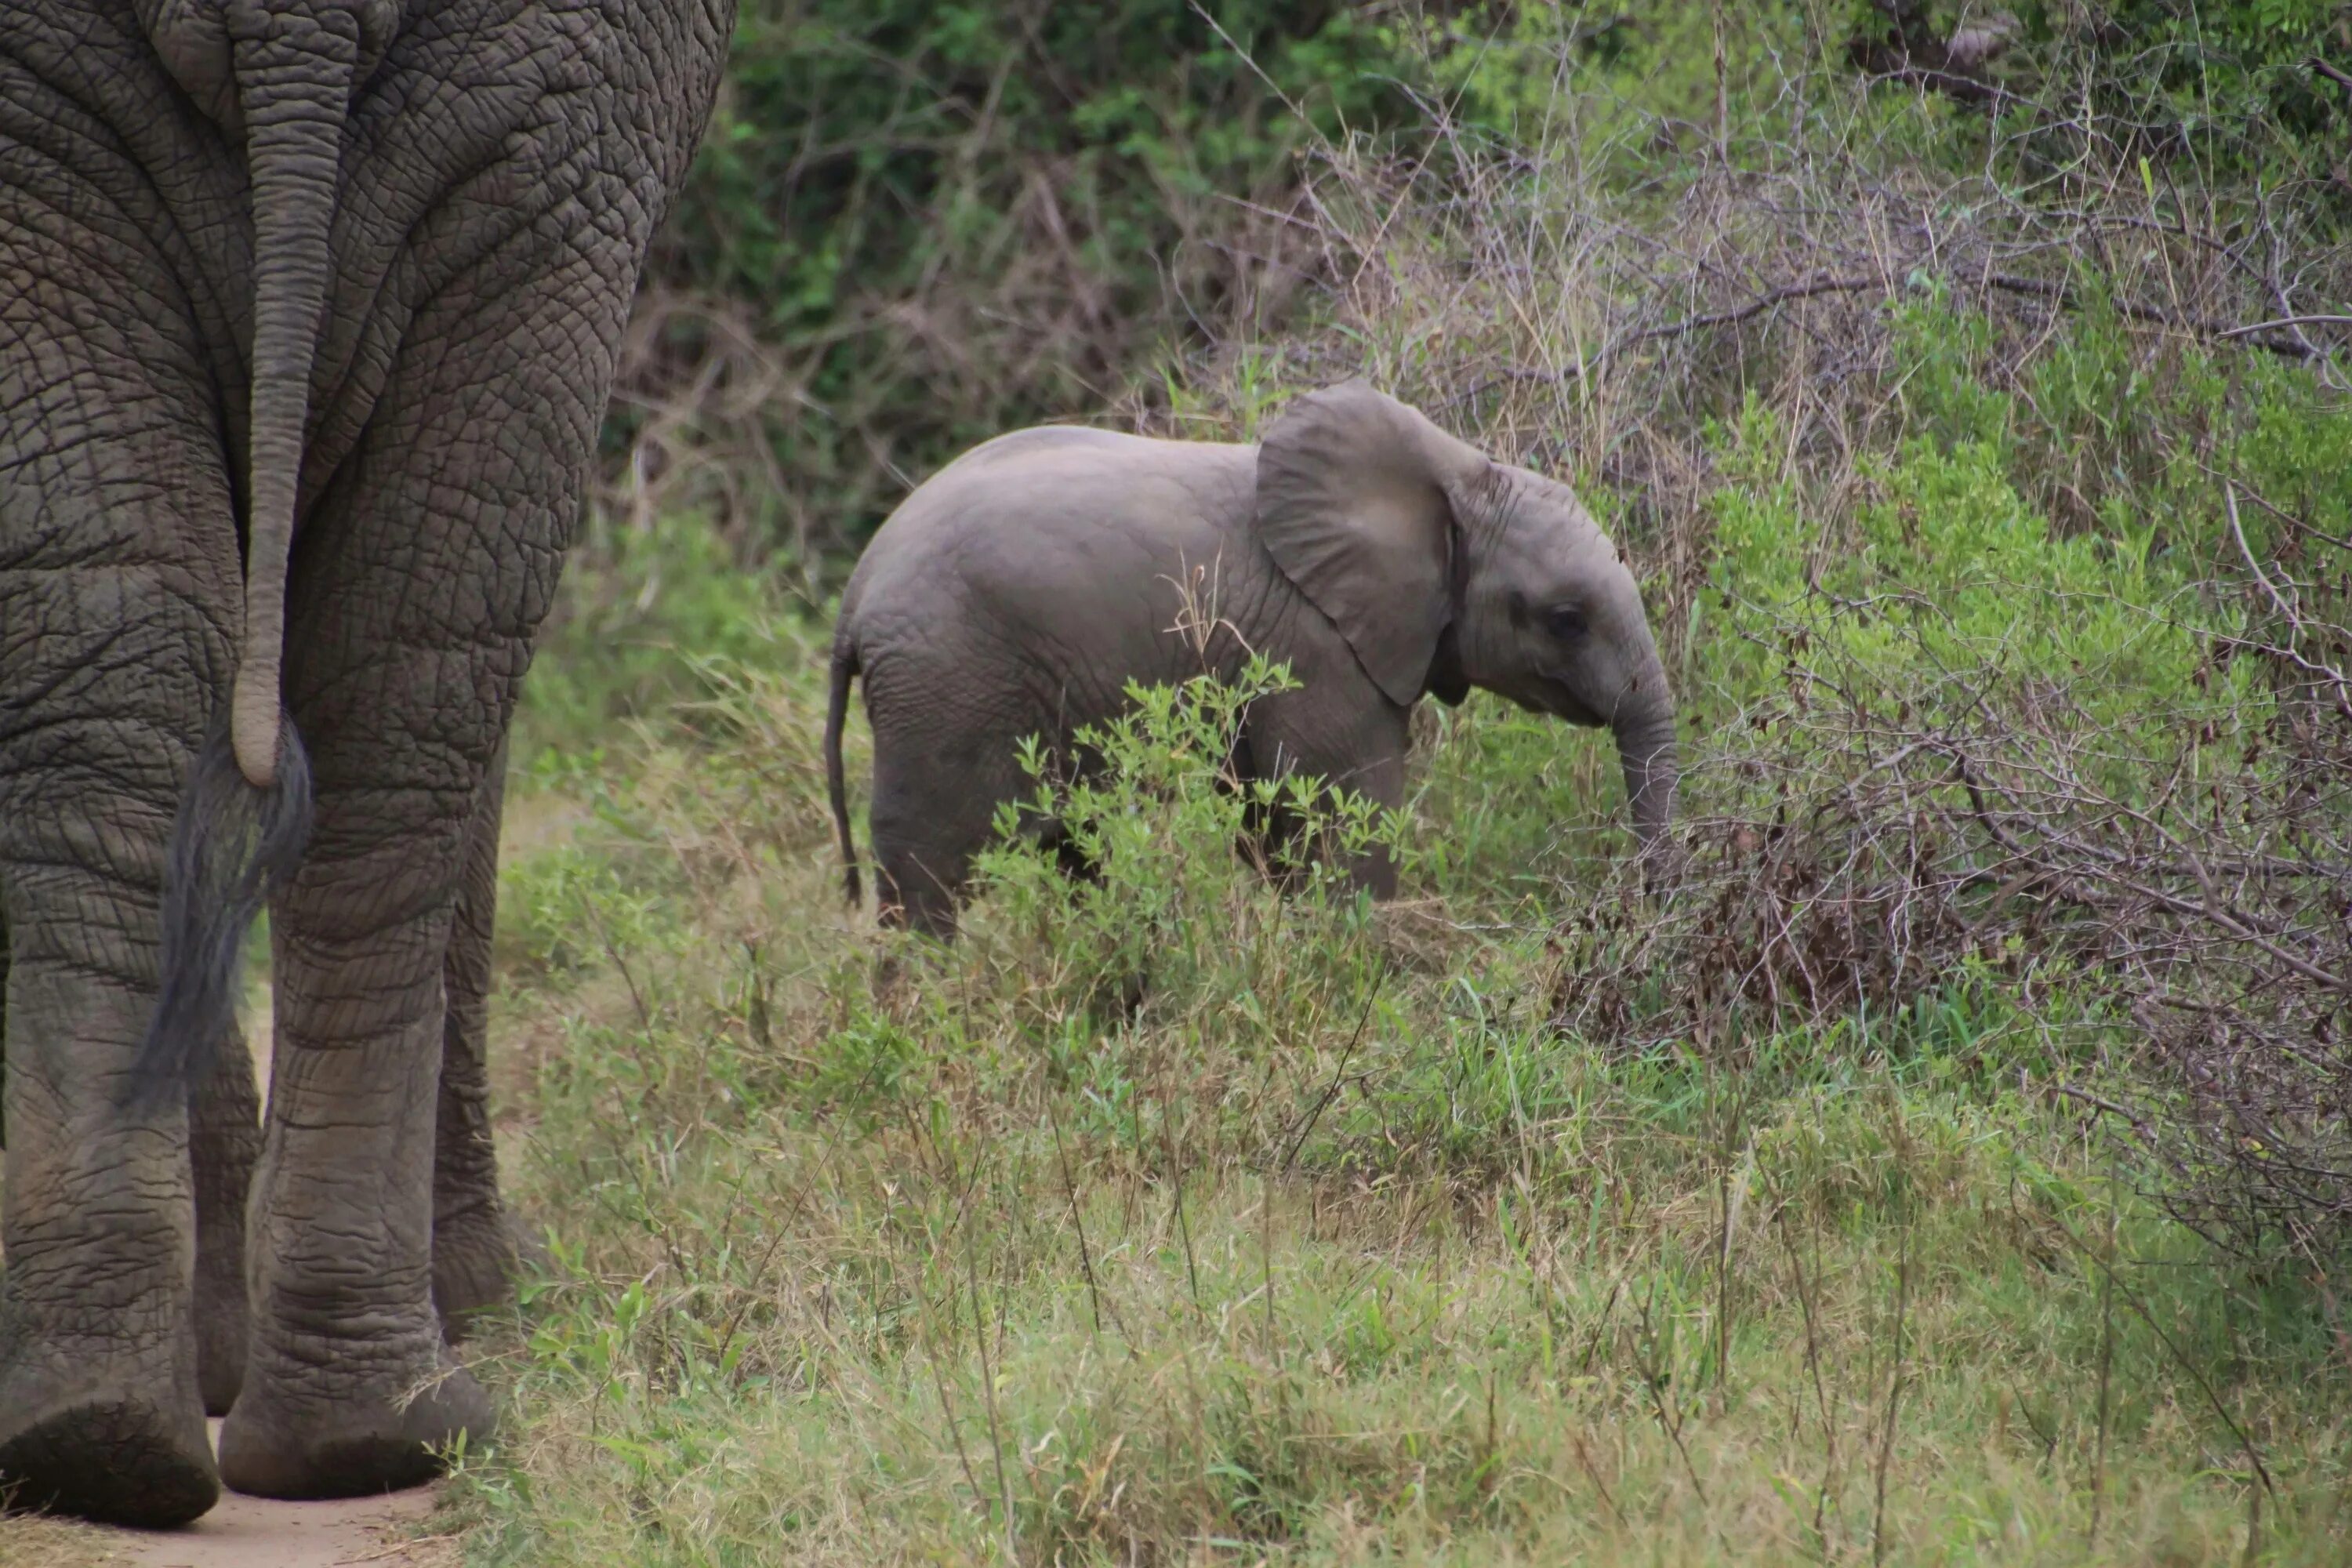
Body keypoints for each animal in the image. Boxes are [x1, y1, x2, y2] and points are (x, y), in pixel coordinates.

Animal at [828, 380, 1675, 940]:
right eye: (1567, 620)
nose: (1639, 913)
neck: (1458, 474)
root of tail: (857, 591)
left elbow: (1275, 827)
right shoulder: (1317, 649)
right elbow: (1344, 825)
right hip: (948, 683)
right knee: (929, 871)